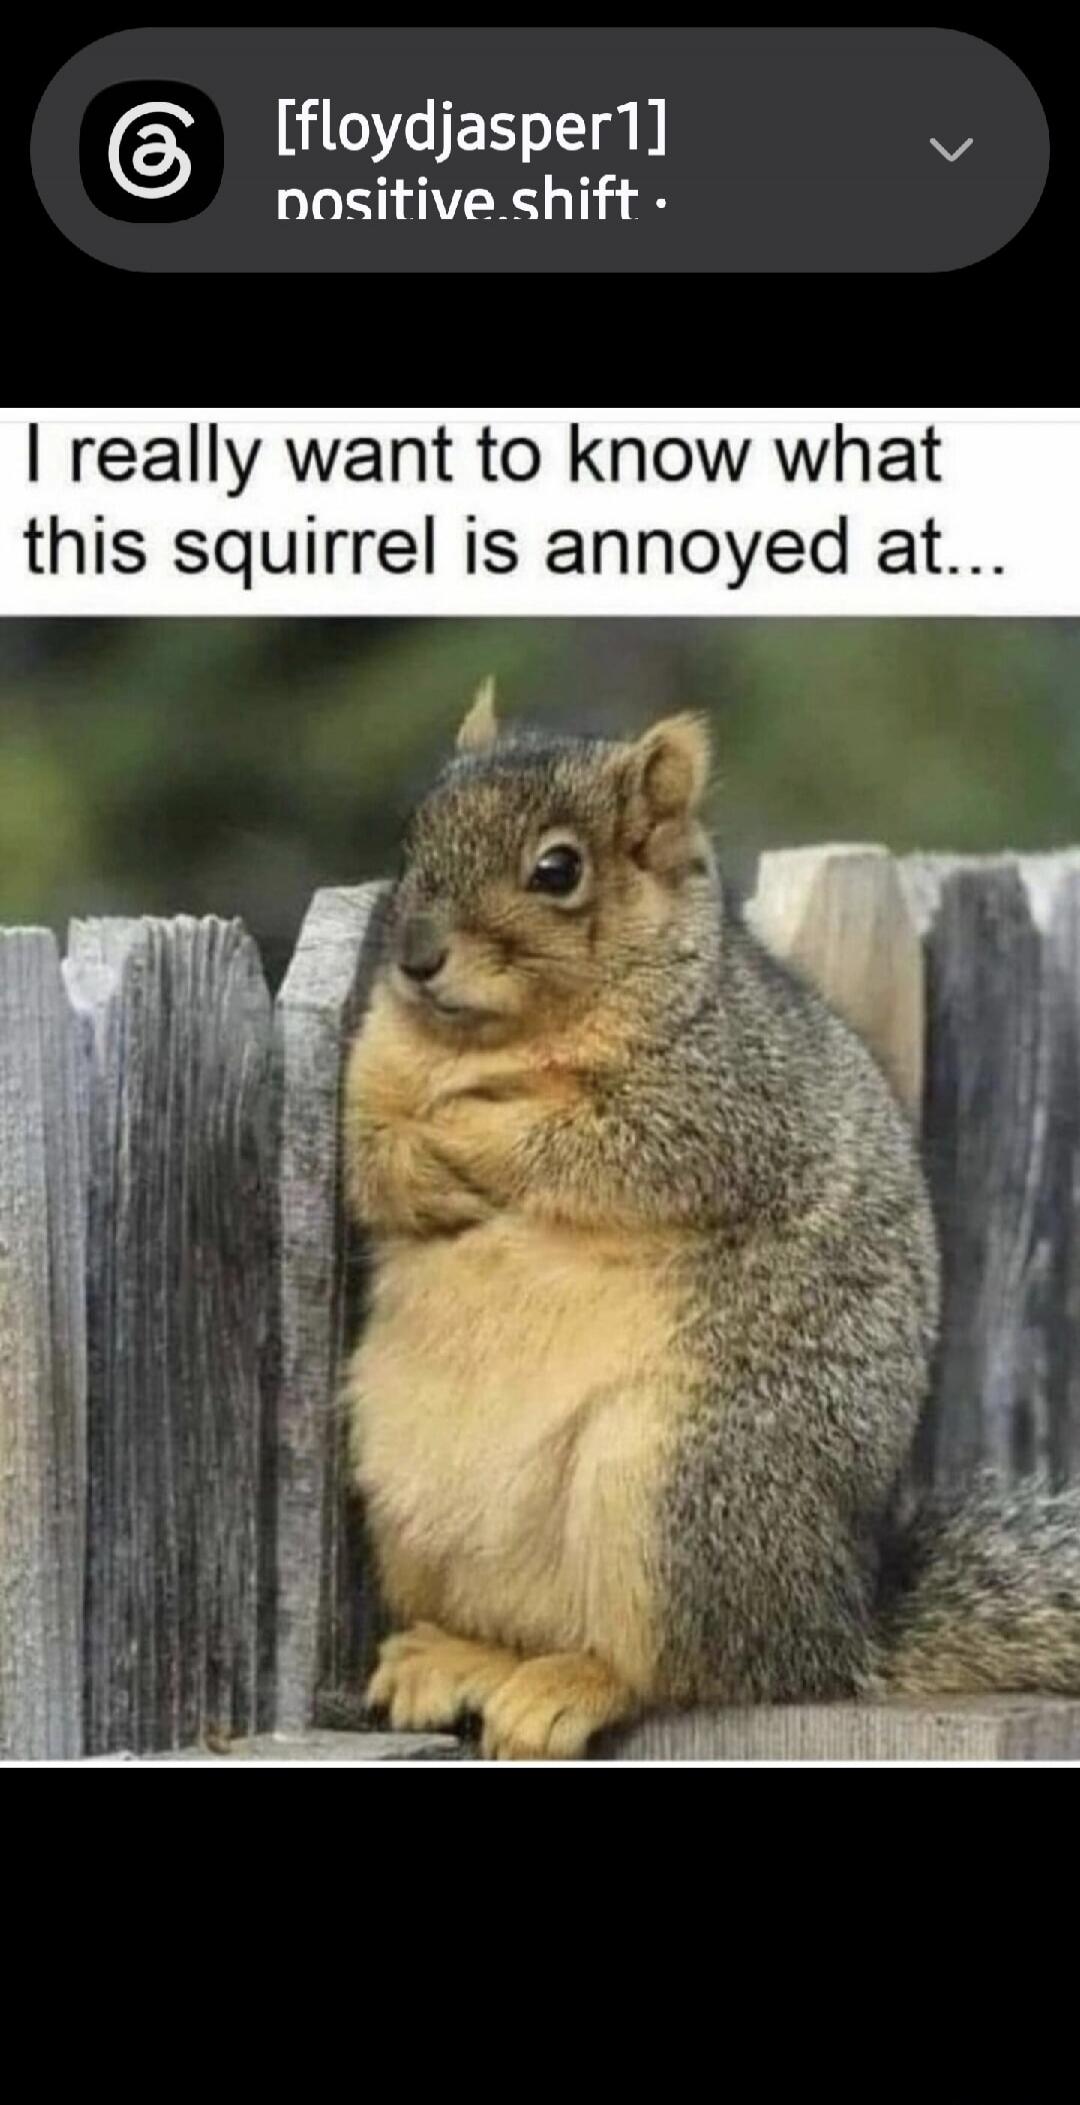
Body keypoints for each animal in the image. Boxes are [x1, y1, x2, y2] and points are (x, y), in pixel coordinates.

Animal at [343, 682, 1080, 1758]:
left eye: (558, 869)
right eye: (412, 834)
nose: (416, 957)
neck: (494, 1041)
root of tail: (836, 1629)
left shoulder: (724, 1098)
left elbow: (597, 1144)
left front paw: (472, 1130)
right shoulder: (370, 1065)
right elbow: (363, 1152)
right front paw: (417, 1167)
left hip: (677, 1488)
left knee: (685, 1667)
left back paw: (569, 1687)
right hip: (409, 1497)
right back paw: (456, 1656)